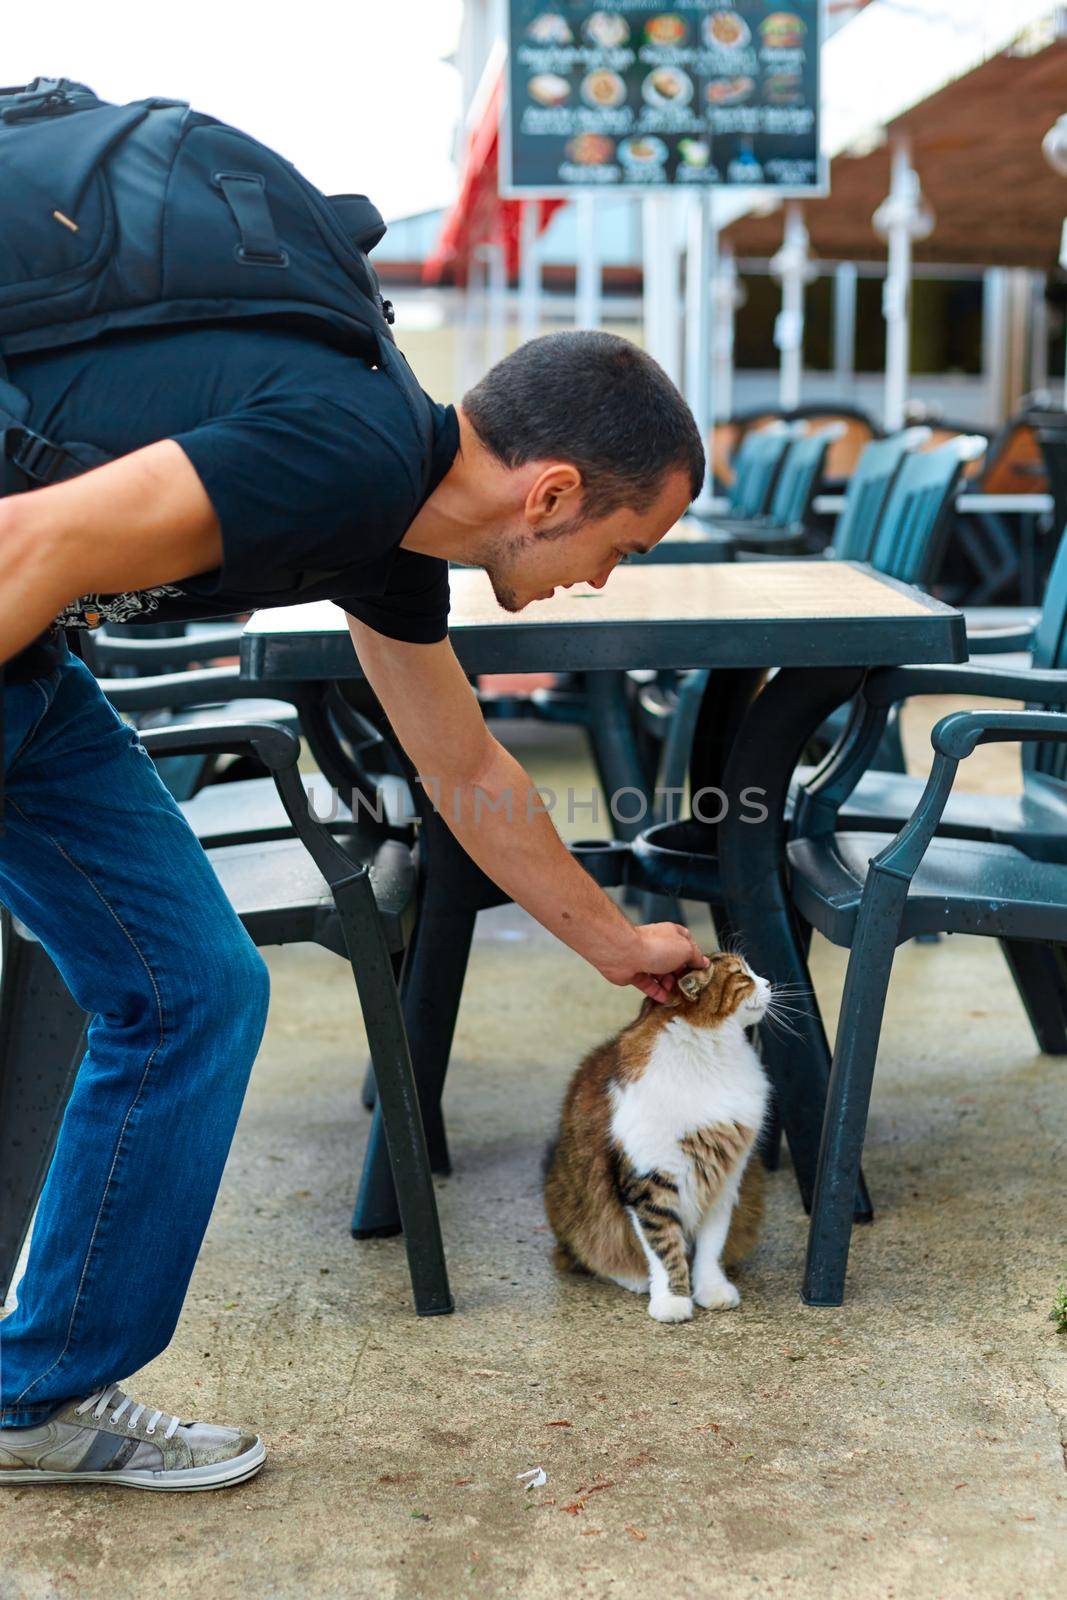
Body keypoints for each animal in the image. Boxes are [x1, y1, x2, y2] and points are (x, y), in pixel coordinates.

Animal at [547, 947, 771, 1324]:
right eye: (743, 974)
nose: (769, 982)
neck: (710, 1054)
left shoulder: (723, 1181)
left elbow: (711, 1247)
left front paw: (711, 1289)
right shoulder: (649, 1181)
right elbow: (665, 1248)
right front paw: (673, 1300)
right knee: (591, 1255)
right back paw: (635, 1279)